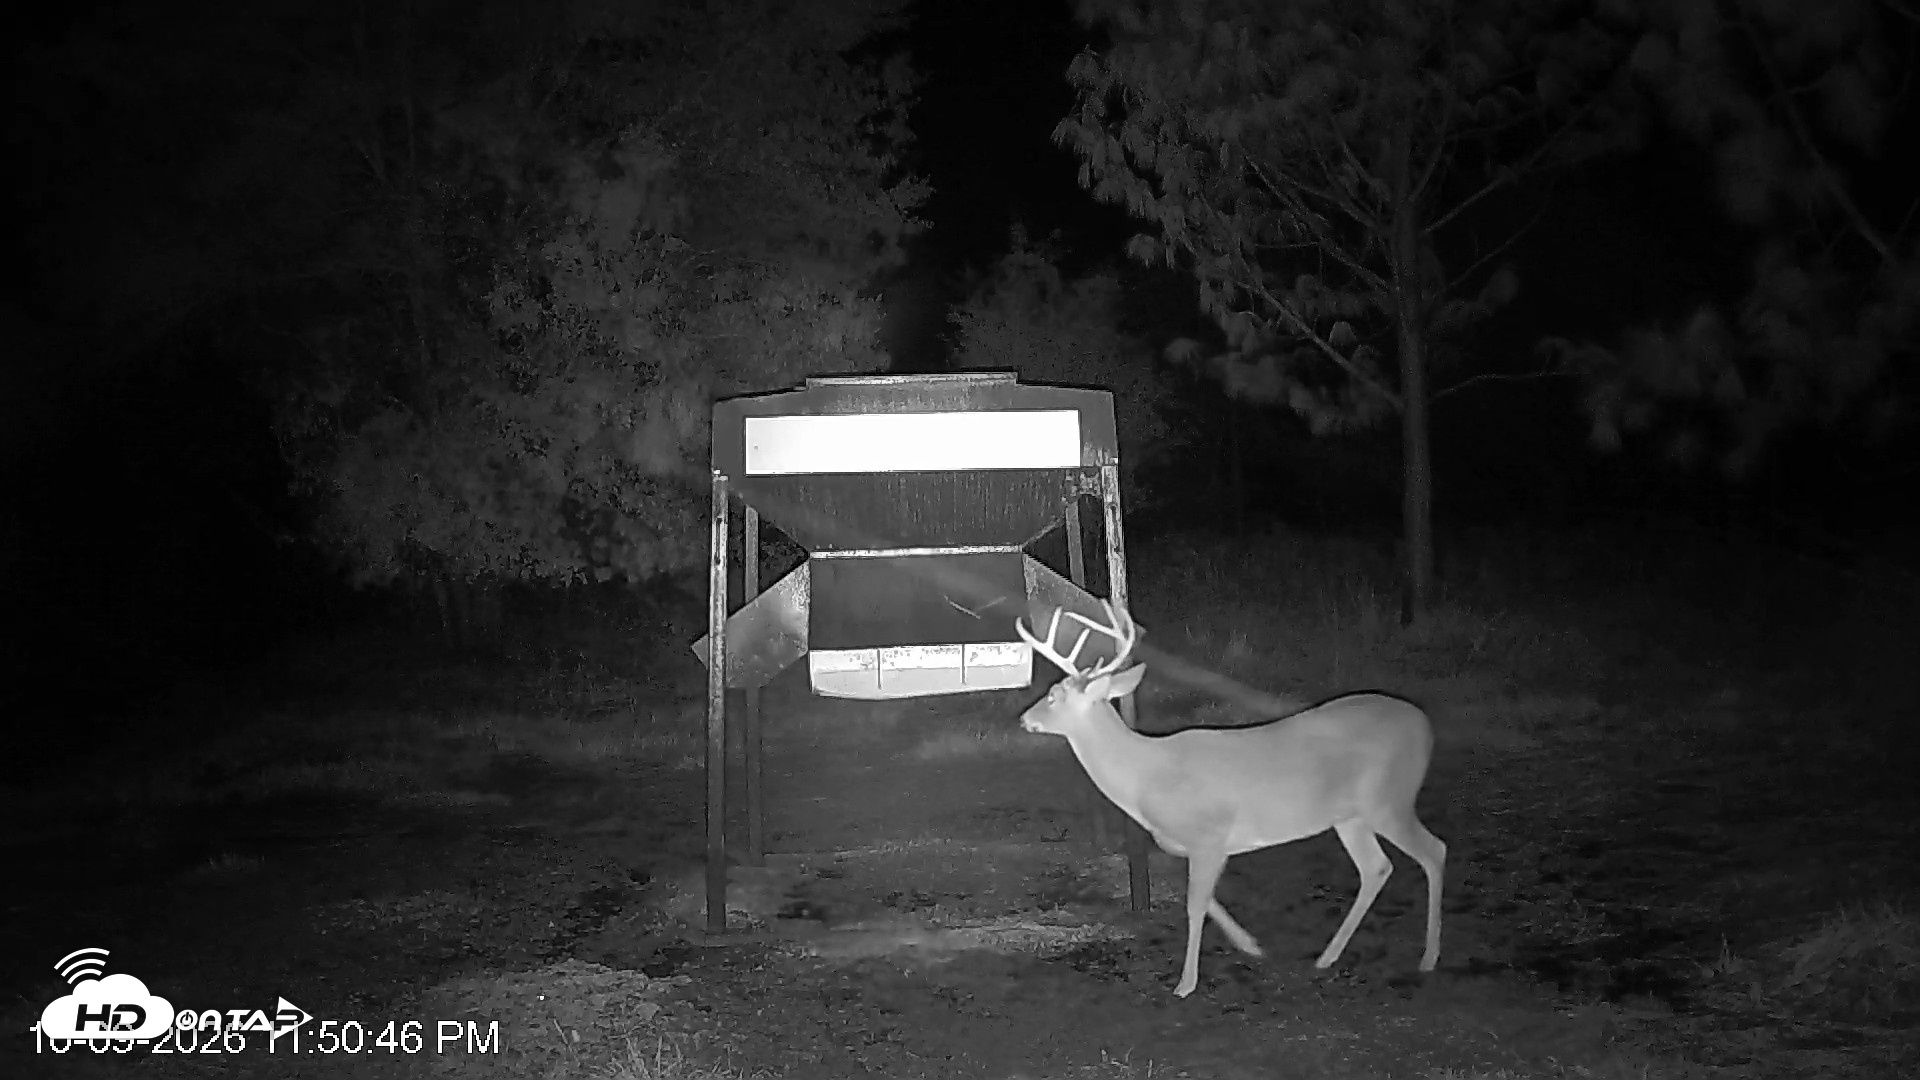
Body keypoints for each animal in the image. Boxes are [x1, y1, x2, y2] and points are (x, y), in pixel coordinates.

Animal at [1015, 600, 1446, 998]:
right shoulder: (1196, 845)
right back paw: (1327, 956)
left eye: (1053, 696)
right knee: (1376, 868)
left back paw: (1429, 957)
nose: (1024, 719)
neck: (1144, 776)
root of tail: (1426, 724)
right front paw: (1251, 945)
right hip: (1350, 815)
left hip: (1389, 799)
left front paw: (1185, 983)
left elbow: (1194, 905)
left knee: (1433, 851)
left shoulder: (1208, 836)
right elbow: (1206, 900)